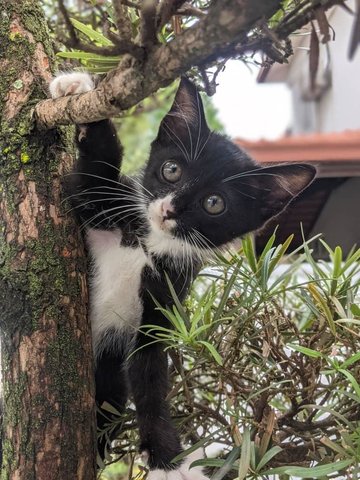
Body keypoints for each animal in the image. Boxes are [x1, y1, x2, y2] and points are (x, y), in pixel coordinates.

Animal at [50, 72, 316, 480]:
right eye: (171, 169)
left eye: (214, 203)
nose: (169, 209)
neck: (147, 244)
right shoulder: (96, 202)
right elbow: (100, 167)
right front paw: (78, 88)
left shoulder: (162, 304)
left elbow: (149, 376)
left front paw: (169, 460)